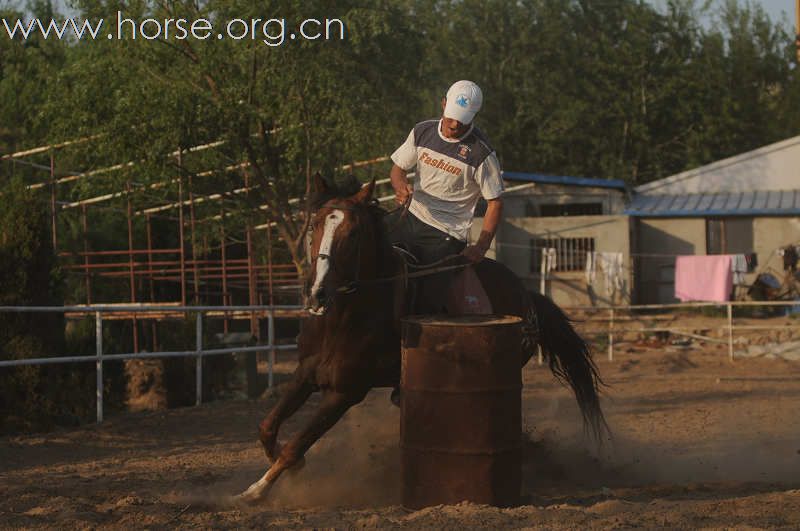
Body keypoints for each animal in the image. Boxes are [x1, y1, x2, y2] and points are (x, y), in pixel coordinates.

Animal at [238, 178, 608, 502]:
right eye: (315, 225)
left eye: (354, 233)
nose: (317, 293)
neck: (343, 319)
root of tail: (526, 295)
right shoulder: (305, 372)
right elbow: (267, 428)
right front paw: (285, 470)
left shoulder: (345, 392)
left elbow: (296, 444)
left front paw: (256, 491)